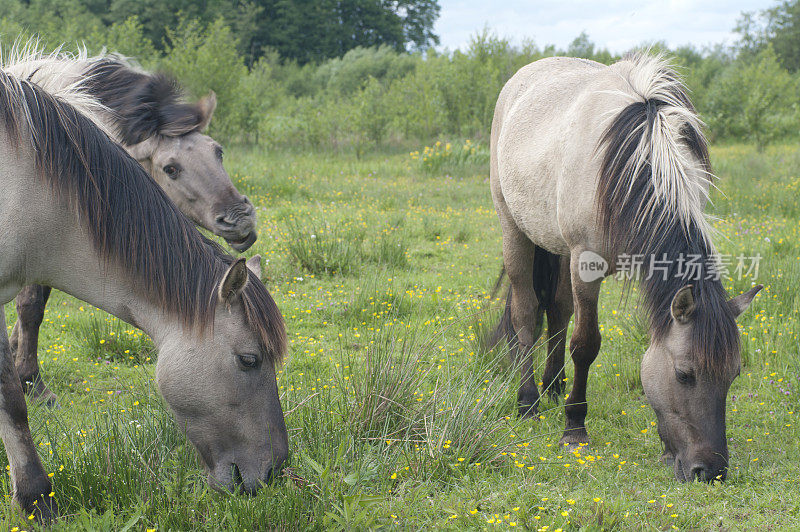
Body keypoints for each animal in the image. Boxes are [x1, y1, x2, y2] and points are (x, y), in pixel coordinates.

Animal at [490, 54, 760, 482]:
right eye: (685, 374)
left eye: (733, 375)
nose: (710, 470)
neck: (637, 164)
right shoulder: (586, 263)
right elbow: (585, 344)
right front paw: (574, 429)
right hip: (514, 229)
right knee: (526, 313)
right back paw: (529, 401)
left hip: (558, 247)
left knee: (558, 311)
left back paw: (553, 385)